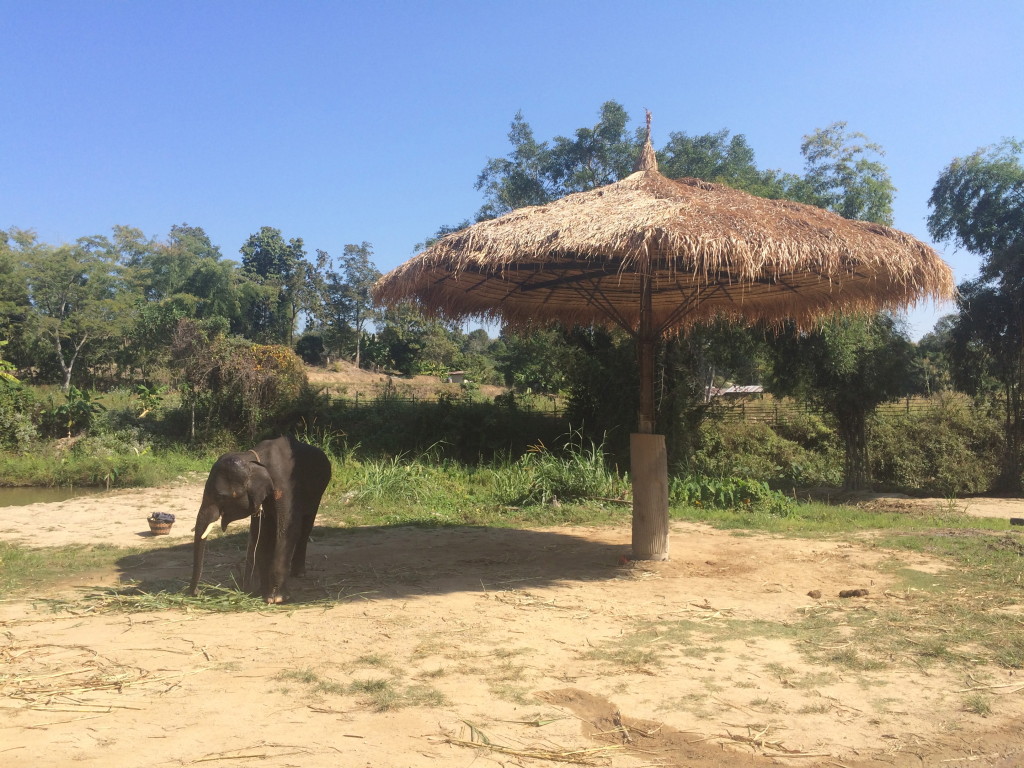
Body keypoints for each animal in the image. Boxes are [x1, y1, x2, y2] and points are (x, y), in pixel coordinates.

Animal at [189, 436, 331, 606]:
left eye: (220, 496)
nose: (198, 592)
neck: (253, 458)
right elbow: (261, 534)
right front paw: (259, 593)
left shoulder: (285, 487)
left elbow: (286, 530)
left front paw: (276, 599)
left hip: (318, 493)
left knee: (305, 527)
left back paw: (299, 574)